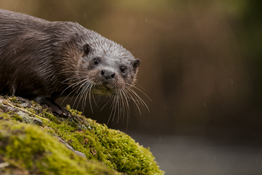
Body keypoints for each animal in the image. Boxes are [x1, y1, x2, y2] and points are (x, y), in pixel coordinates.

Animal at [0, 8, 144, 117]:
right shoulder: (33, 64)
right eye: (96, 60)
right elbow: (37, 92)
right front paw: (58, 108)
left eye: (123, 68)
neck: (57, 48)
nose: (108, 73)